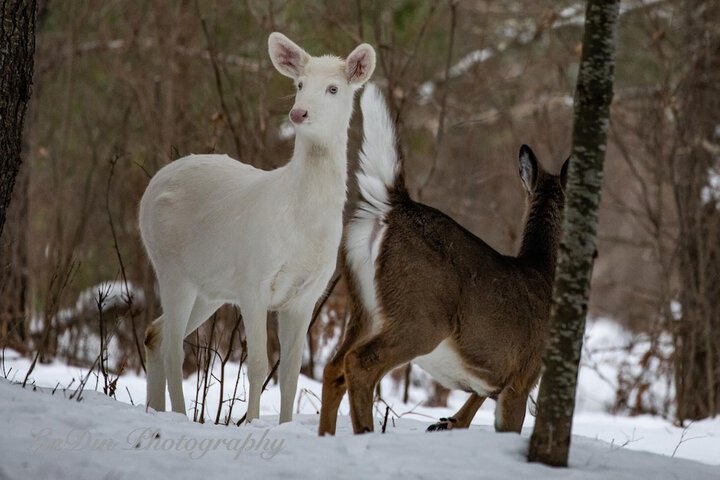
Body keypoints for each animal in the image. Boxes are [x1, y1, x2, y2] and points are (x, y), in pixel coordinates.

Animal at [140, 31, 376, 422]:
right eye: (299, 84)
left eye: (333, 88)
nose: (299, 112)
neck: (302, 225)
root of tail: (152, 185)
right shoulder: (254, 279)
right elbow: (258, 365)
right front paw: (250, 422)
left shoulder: (306, 294)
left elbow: (290, 374)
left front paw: (285, 424)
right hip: (170, 265)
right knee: (173, 347)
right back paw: (178, 415)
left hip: (210, 289)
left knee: (154, 334)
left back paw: (155, 409)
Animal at [318, 83, 564, 436]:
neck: (543, 270)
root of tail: (393, 204)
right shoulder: (522, 375)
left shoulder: (491, 380)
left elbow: (466, 412)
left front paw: (446, 422)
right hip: (422, 315)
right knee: (359, 363)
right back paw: (365, 433)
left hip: (363, 307)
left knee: (334, 367)